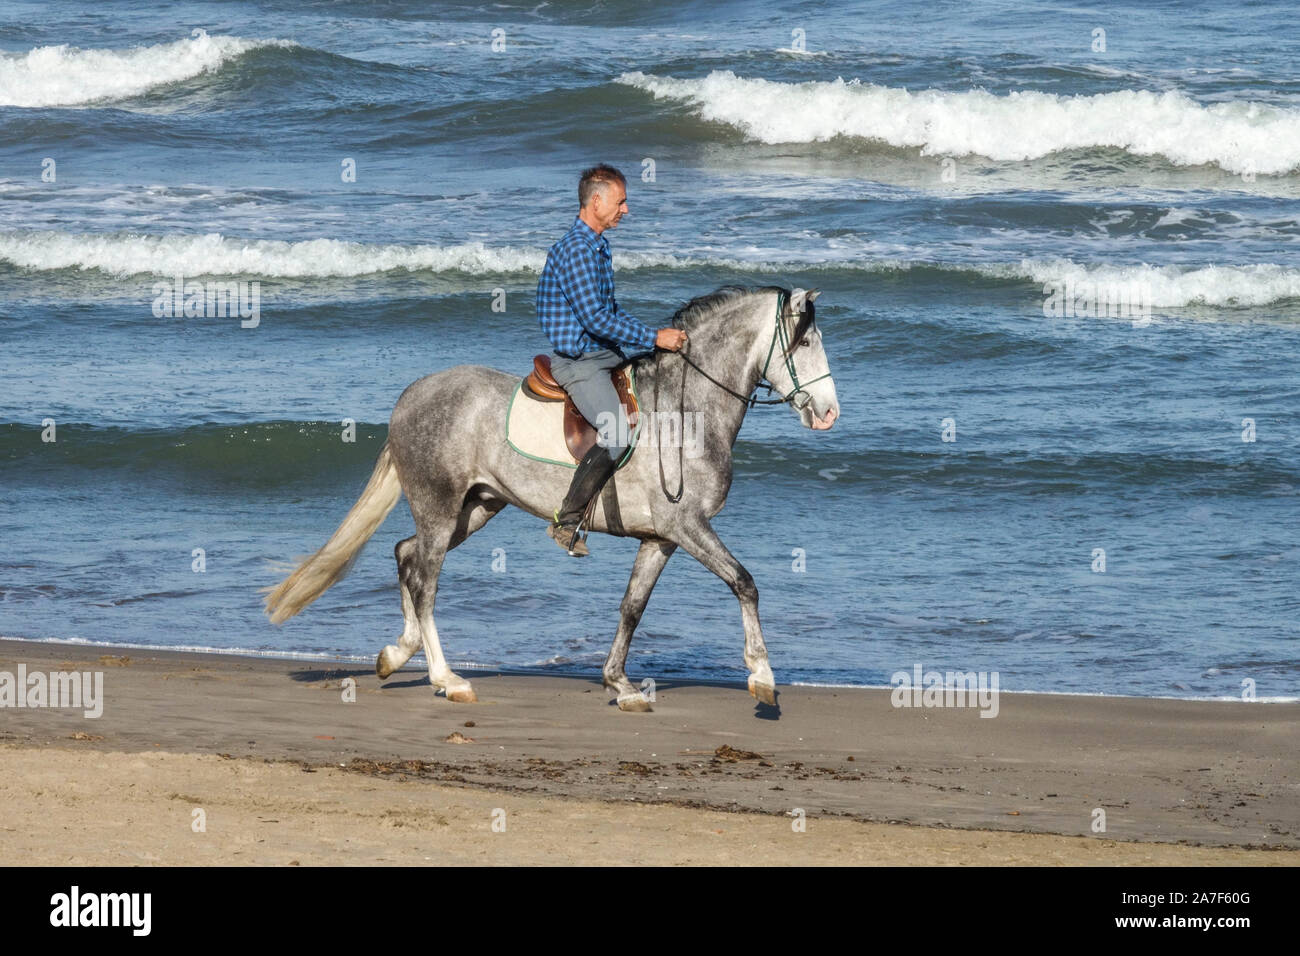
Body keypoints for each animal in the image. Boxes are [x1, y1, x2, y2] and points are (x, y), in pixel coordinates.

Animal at [263, 283, 842, 712]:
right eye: (805, 343)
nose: (829, 413)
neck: (687, 411)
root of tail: (411, 396)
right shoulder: (688, 526)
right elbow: (744, 583)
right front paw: (762, 677)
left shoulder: (661, 538)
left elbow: (632, 606)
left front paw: (620, 684)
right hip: (441, 507)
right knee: (425, 580)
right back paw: (449, 679)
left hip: (475, 507)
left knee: (406, 556)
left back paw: (395, 655)